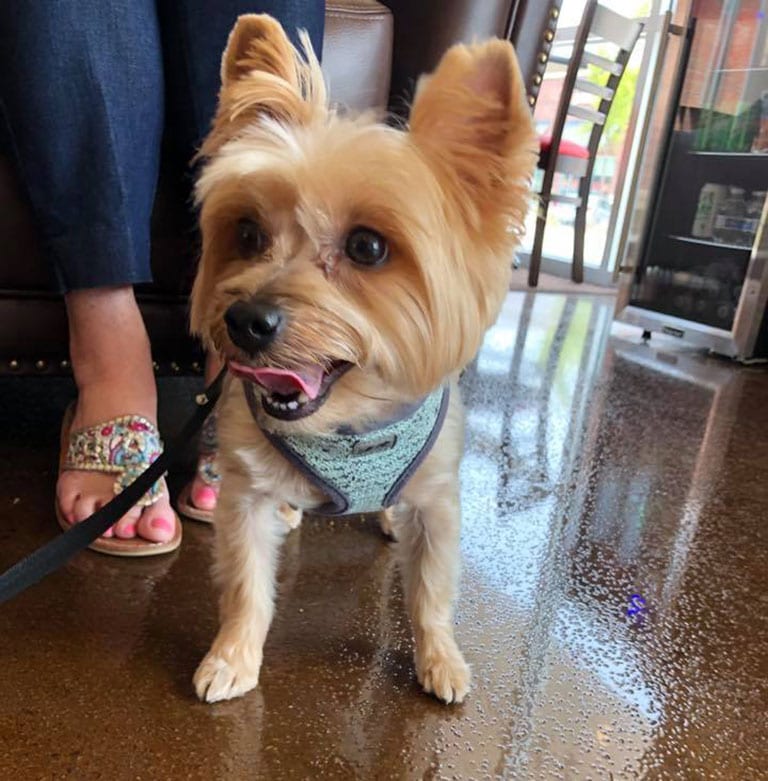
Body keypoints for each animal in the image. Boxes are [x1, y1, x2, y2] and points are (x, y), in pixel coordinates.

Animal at [190, 13, 536, 708]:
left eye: (368, 247)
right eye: (247, 233)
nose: (244, 321)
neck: (348, 427)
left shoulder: (438, 502)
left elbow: (431, 592)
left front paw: (440, 659)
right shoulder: (244, 498)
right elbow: (245, 587)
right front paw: (233, 657)